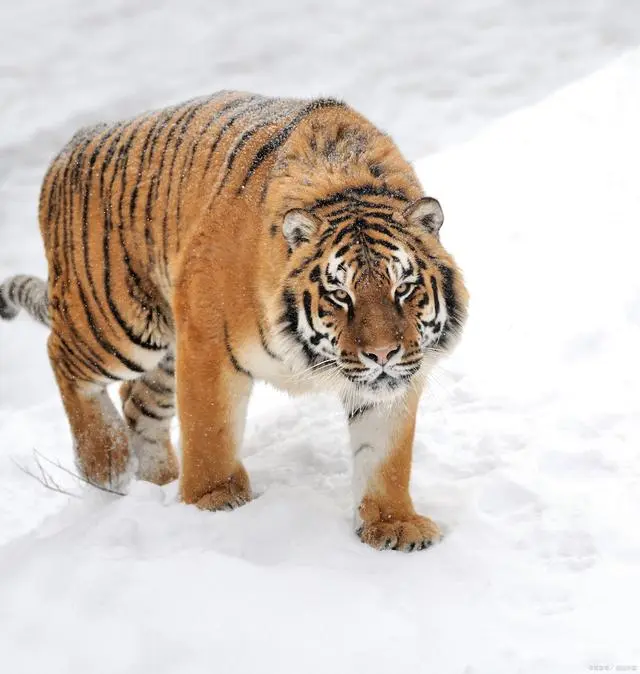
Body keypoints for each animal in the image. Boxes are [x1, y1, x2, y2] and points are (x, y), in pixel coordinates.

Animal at [1, 90, 470, 552]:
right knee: (61, 356)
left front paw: (394, 524)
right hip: (118, 319)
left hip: (164, 354)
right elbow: (210, 432)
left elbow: (384, 455)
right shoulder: (207, 346)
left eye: (403, 288)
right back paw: (106, 463)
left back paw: (156, 482)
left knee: (137, 401)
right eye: (340, 294)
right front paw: (214, 499)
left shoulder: (396, 377)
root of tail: (71, 146)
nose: (382, 354)